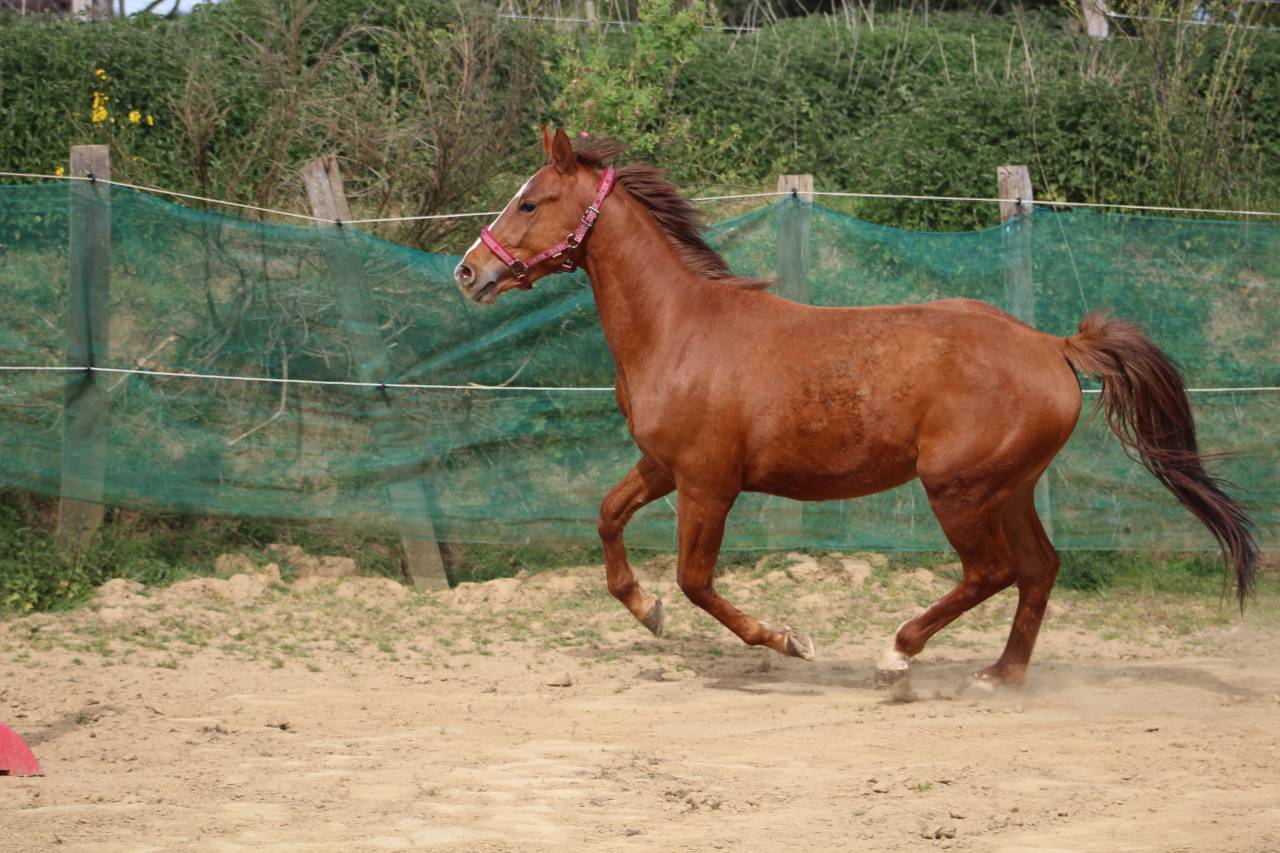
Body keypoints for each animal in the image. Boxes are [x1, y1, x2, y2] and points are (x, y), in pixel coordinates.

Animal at [453, 128, 1257, 687]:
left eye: (530, 200)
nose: (468, 271)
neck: (679, 329)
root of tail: (1053, 346)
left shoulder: (709, 483)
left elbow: (696, 580)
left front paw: (788, 640)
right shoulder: (662, 465)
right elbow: (607, 517)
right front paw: (644, 610)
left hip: (957, 487)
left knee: (992, 571)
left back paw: (898, 655)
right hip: (1010, 487)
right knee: (1039, 568)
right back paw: (999, 675)